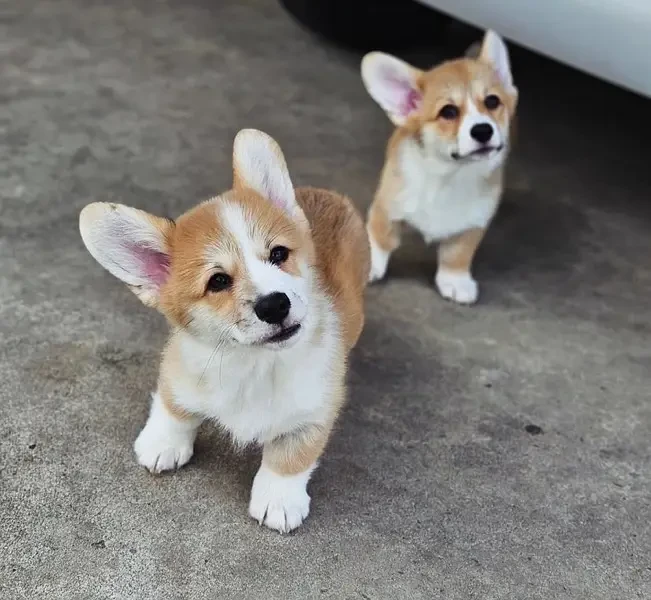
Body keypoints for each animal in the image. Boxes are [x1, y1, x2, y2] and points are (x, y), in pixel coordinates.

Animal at [79, 129, 370, 532]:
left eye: (279, 254)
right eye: (217, 281)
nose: (275, 305)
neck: (252, 364)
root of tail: (331, 194)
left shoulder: (316, 409)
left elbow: (291, 454)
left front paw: (278, 500)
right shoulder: (180, 368)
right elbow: (173, 406)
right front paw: (162, 443)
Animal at [362, 29, 520, 302]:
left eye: (492, 101)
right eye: (448, 112)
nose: (483, 130)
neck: (450, 175)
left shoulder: (474, 223)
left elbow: (457, 254)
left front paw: (455, 280)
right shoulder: (387, 208)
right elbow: (380, 240)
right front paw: (370, 263)